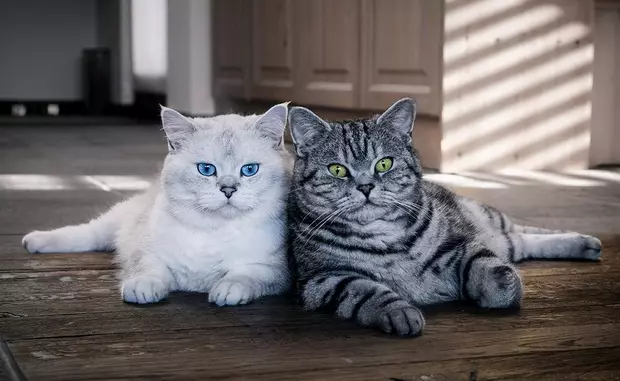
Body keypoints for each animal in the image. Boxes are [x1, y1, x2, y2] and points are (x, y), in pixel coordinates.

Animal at [23, 102, 294, 304]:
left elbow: (246, 275)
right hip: (117, 221)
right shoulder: (144, 248)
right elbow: (147, 267)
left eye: (249, 170)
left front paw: (228, 289)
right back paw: (35, 241)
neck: (213, 231)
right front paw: (143, 287)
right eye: (206, 169)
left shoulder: (276, 270)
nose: (228, 189)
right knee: (87, 234)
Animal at [288, 97, 604, 336]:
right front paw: (401, 313)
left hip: (490, 217)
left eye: (384, 163)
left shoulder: (460, 244)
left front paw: (501, 287)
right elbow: (368, 291)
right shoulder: (324, 280)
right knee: (521, 242)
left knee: (527, 232)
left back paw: (586, 241)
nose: (365, 187)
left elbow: (487, 265)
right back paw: (585, 246)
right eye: (337, 169)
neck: (382, 235)